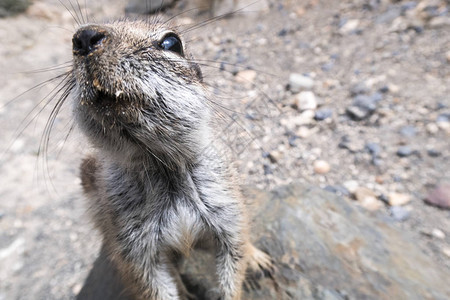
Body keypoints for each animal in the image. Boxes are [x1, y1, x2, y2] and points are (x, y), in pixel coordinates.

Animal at [71, 18, 270, 300]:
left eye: (172, 43)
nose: (85, 37)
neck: (162, 162)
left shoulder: (228, 212)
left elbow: (235, 257)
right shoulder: (132, 246)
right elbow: (153, 283)